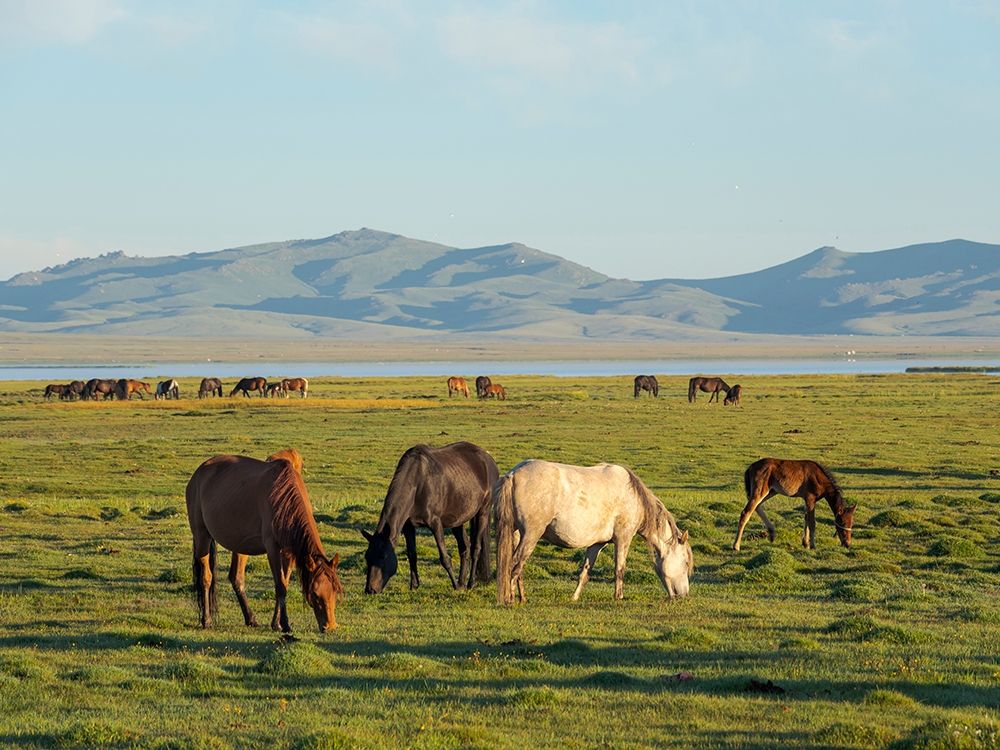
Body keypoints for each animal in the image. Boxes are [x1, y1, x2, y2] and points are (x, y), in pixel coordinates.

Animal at [185, 448, 343, 633]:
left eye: (335, 591)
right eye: (315, 594)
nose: (330, 626)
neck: (283, 496)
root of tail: (199, 473)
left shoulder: (289, 551)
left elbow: (284, 584)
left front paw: (280, 623)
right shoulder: (272, 548)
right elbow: (280, 586)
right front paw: (282, 624)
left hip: (241, 545)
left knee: (236, 579)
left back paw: (251, 619)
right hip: (202, 536)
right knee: (206, 578)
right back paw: (207, 620)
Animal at [361, 442, 497, 594]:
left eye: (382, 556)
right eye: (367, 557)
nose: (370, 590)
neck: (417, 483)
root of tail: (488, 459)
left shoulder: (435, 523)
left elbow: (444, 558)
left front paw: (454, 586)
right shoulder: (408, 526)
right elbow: (412, 554)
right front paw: (414, 585)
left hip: (483, 513)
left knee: (476, 548)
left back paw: (470, 583)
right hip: (458, 520)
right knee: (465, 547)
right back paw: (462, 582)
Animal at [495, 460, 693, 604]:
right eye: (685, 563)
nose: (684, 595)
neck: (634, 496)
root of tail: (513, 474)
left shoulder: (596, 544)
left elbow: (585, 572)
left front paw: (574, 598)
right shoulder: (623, 538)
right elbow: (619, 569)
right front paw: (618, 597)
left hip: (517, 534)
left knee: (518, 568)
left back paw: (522, 598)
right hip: (531, 535)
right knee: (513, 565)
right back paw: (509, 599)